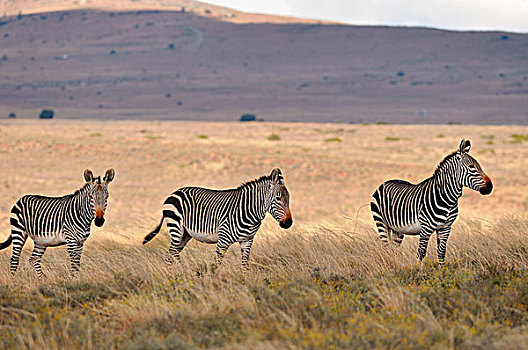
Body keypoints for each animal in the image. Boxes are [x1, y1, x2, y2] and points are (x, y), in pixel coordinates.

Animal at [144, 168, 292, 270]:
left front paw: (245, 282)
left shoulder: (247, 240)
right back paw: (178, 274)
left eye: (288, 198)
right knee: (172, 254)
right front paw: (213, 283)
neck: (250, 212)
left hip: (185, 234)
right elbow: (216, 265)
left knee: (173, 254)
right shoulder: (223, 240)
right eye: (278, 198)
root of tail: (174, 192)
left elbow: (245, 265)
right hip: (176, 229)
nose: (288, 223)